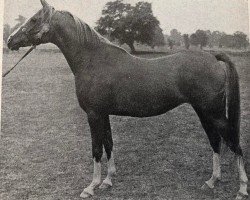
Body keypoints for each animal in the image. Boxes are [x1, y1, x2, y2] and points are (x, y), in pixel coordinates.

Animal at [6, 0, 248, 199]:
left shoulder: (94, 115)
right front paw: (107, 181)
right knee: (215, 141)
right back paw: (212, 181)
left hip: (214, 113)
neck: (94, 61)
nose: (10, 40)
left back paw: (242, 189)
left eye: (34, 19)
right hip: (204, 112)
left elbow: (96, 149)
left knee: (234, 143)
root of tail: (212, 56)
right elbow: (109, 144)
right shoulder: (103, 114)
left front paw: (91, 187)